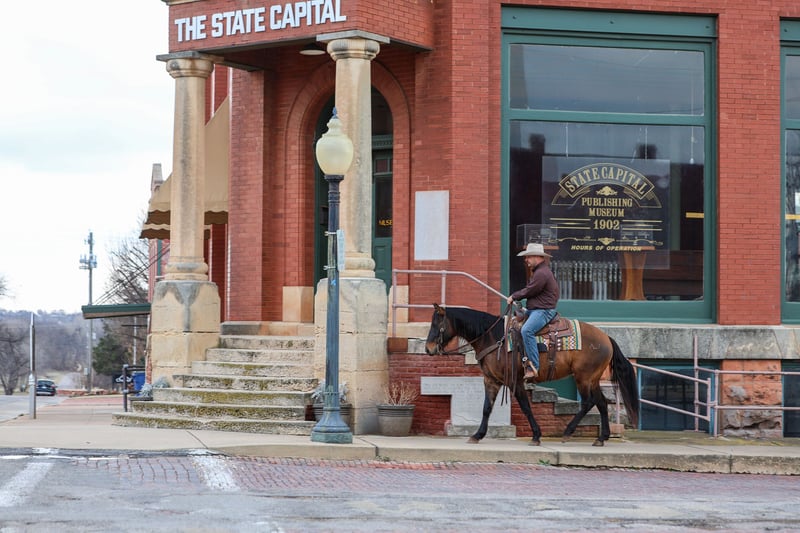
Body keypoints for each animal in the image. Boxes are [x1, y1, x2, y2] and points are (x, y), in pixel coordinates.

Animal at [424, 303, 639, 446]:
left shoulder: (515, 381)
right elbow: (486, 408)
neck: (494, 337)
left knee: (588, 403)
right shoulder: (491, 380)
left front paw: (536, 435)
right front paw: (477, 435)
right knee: (601, 403)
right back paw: (602, 437)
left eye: (436, 324)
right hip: (592, 379)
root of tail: (607, 337)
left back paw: (568, 432)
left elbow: (526, 407)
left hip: (583, 378)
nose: (428, 349)